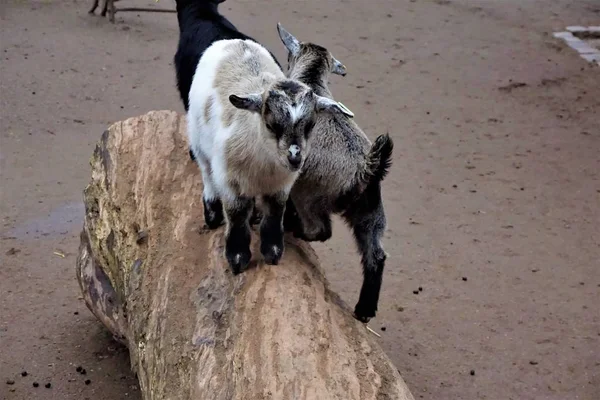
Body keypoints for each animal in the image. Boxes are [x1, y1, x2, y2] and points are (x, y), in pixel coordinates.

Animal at [185, 39, 350, 274]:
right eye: (271, 125)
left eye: (311, 125)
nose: (295, 158)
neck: (265, 163)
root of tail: (233, 41)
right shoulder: (230, 182)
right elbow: (236, 215)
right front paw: (237, 259)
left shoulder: (280, 186)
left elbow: (274, 214)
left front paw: (272, 253)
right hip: (199, 141)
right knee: (206, 173)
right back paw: (212, 214)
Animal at [276, 24, 394, 322]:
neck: (312, 83)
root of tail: (366, 169)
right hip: (370, 213)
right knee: (376, 255)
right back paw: (364, 310)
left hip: (309, 195)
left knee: (321, 230)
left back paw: (294, 229)